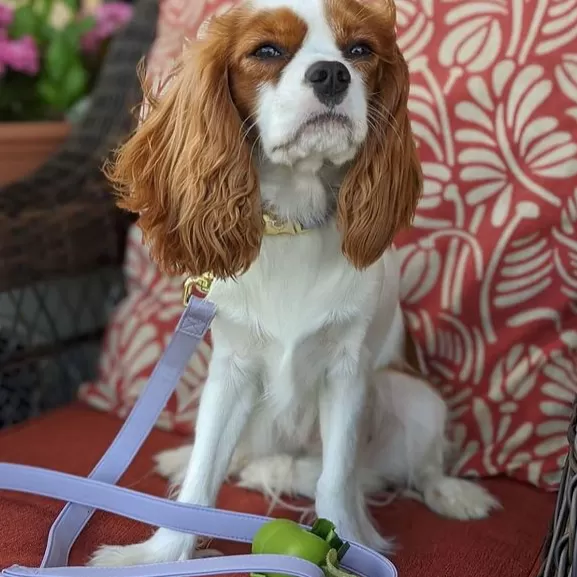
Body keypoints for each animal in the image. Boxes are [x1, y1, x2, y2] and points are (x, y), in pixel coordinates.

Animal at [88, 0, 498, 564]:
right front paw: (162, 555)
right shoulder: (232, 370)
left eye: (360, 50)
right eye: (266, 51)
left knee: (415, 468)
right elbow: (202, 476)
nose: (332, 73)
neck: (296, 219)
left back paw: (454, 493)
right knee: (240, 454)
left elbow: (337, 476)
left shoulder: (347, 373)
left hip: (413, 396)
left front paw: (347, 540)